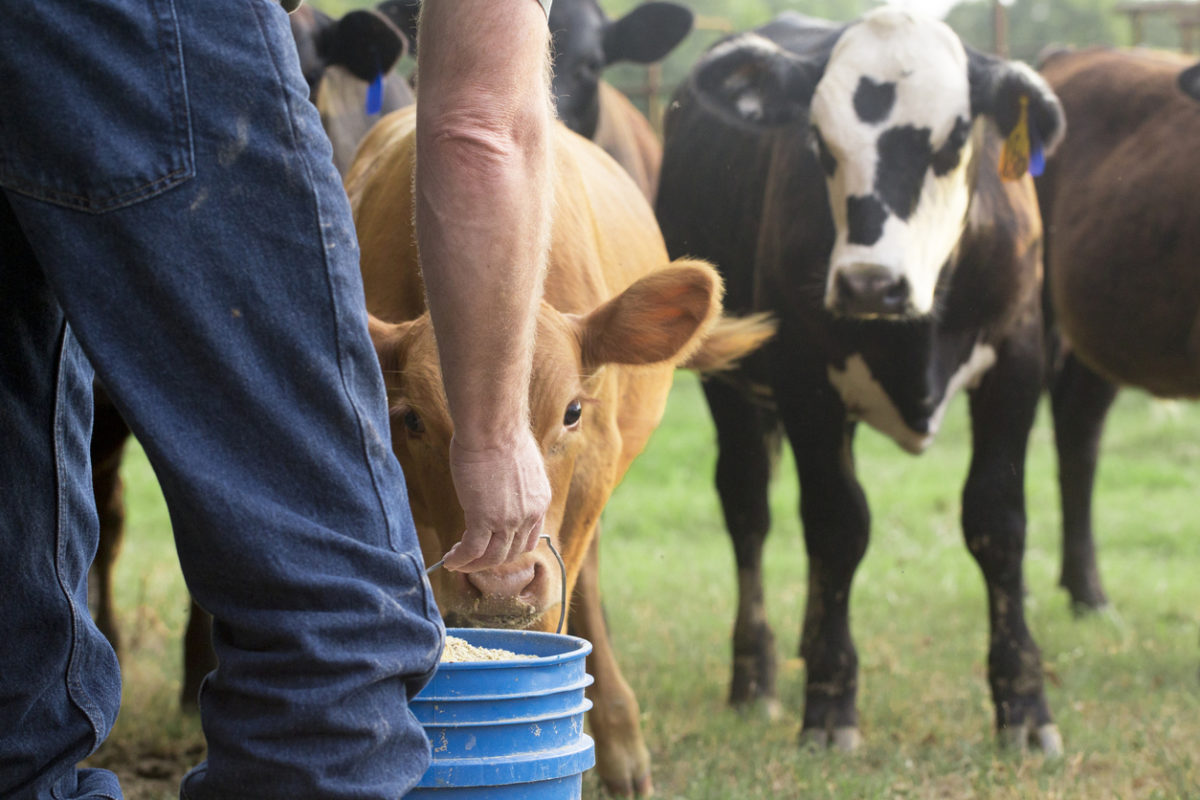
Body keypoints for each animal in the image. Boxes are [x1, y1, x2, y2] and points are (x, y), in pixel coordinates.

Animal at [657, 7, 1070, 753]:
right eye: (818, 139)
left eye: (956, 137)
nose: (869, 283)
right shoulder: (805, 380)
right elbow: (837, 526)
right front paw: (828, 702)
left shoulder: (1018, 362)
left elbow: (997, 523)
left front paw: (1024, 705)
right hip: (728, 383)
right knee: (750, 510)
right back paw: (756, 674)